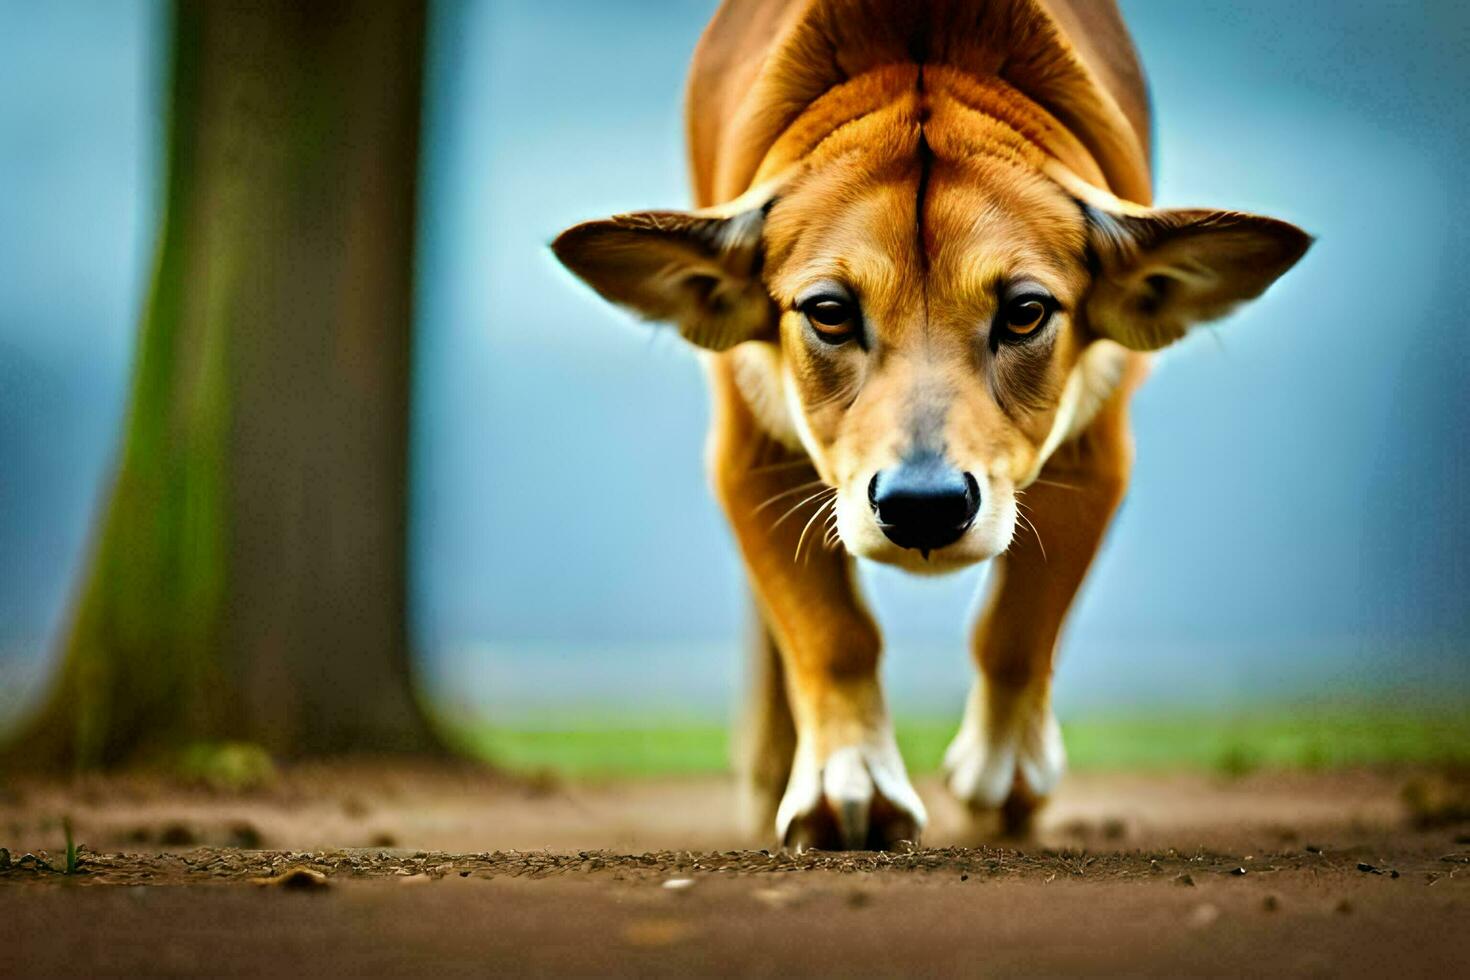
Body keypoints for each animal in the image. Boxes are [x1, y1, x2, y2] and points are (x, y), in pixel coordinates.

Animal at [552, 0, 1311, 852]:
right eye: (828, 311)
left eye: (1025, 312)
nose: (923, 506)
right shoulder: (747, 448)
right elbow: (831, 630)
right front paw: (843, 782)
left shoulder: (1098, 444)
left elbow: (1021, 622)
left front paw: (1005, 777)